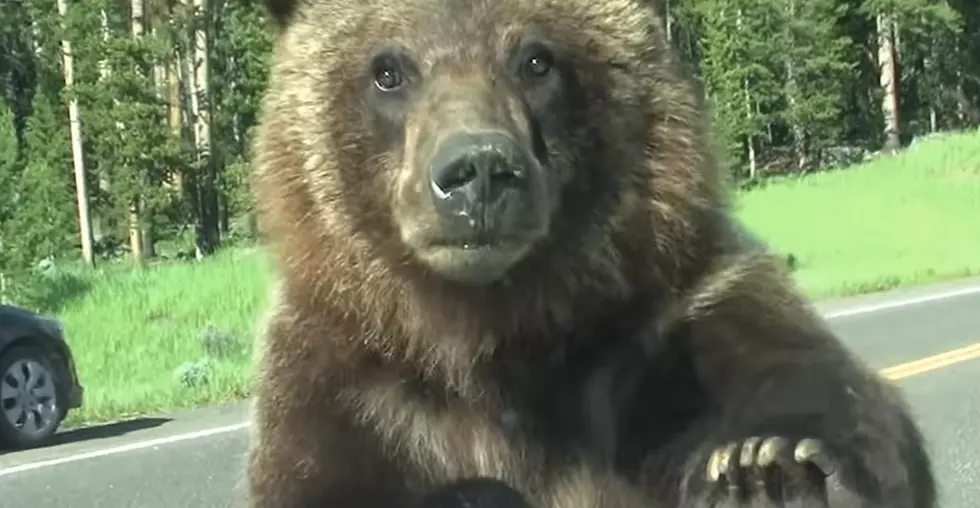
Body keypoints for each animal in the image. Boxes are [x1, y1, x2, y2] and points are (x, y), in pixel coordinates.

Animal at [245, 0, 936, 504]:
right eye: (388, 69)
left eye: (536, 59)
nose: (480, 171)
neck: (493, 335)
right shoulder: (350, 388)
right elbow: (323, 479)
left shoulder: (675, 317)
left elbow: (824, 396)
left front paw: (771, 471)